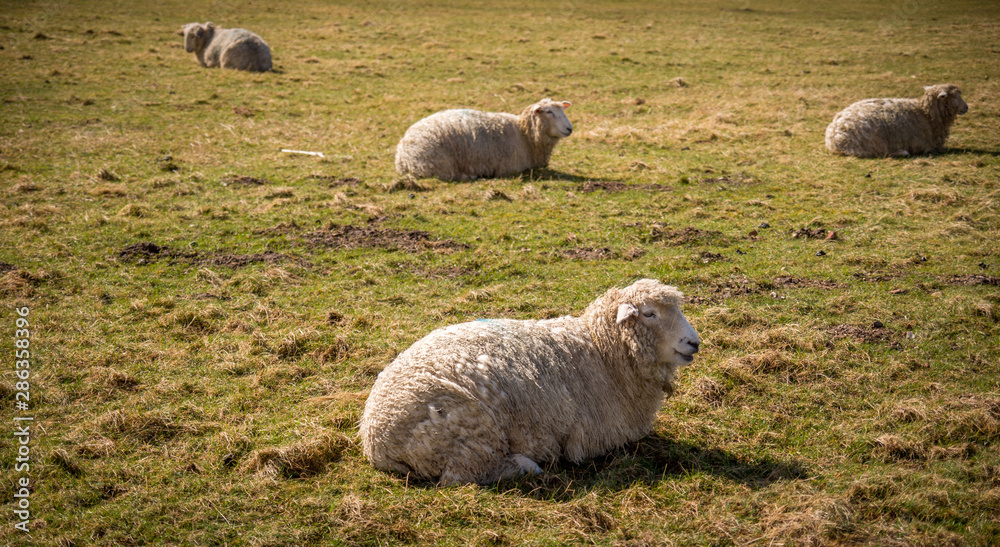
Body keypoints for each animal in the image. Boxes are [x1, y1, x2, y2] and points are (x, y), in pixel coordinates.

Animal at [359, 278, 700, 485]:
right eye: (649, 313)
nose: (694, 343)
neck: (600, 352)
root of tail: (373, 438)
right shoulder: (592, 438)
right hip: (471, 431)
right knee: (461, 476)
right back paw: (525, 465)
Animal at [825, 84, 968, 158]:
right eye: (955, 96)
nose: (966, 107)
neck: (926, 114)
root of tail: (833, 138)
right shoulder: (925, 145)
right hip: (874, 145)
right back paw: (902, 152)